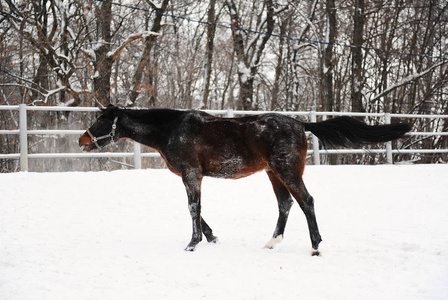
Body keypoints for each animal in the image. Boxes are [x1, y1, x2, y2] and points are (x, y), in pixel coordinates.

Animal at [79, 105, 410, 255]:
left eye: (100, 120)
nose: (82, 139)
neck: (172, 129)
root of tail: (301, 123)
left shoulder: (192, 174)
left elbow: (193, 208)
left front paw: (192, 244)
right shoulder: (191, 175)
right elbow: (198, 209)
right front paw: (211, 237)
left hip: (287, 170)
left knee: (306, 201)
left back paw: (315, 246)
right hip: (273, 173)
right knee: (285, 204)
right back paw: (272, 242)